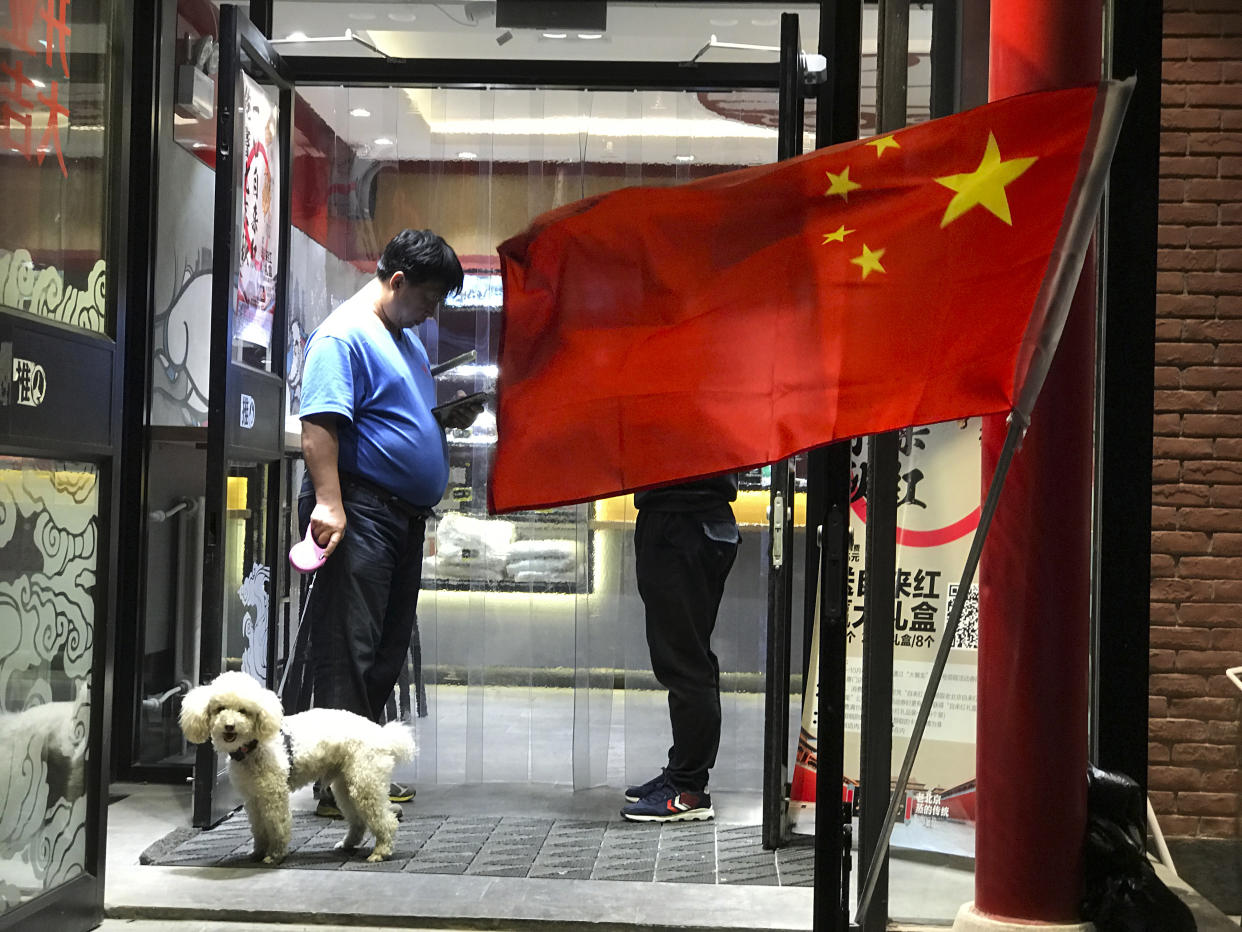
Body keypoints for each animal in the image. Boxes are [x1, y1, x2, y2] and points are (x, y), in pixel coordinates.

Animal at [180, 671, 414, 859]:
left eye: (243, 711)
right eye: (219, 708)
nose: (229, 726)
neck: (254, 748)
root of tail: (382, 736)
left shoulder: (273, 795)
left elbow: (277, 825)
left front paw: (275, 854)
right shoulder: (253, 798)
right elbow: (259, 828)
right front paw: (258, 852)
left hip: (365, 784)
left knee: (385, 820)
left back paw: (381, 851)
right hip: (347, 785)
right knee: (359, 821)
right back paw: (347, 844)